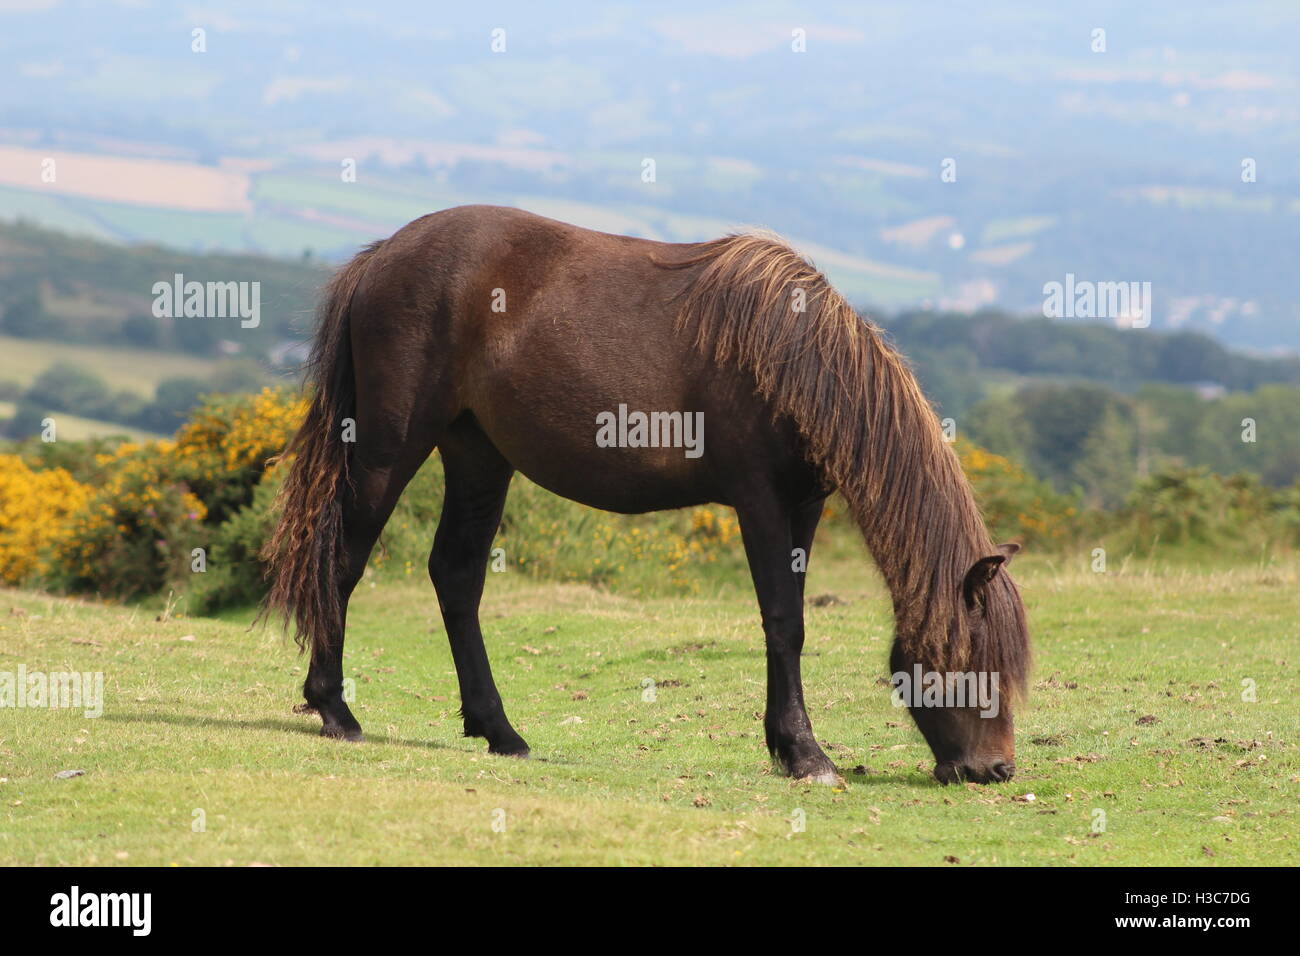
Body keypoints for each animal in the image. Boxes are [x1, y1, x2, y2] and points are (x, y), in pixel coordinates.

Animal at [258, 205, 1029, 780]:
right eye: (970, 656)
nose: (994, 771)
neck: (792, 355)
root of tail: (381, 256)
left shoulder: (804, 506)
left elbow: (795, 621)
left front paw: (787, 747)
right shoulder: (759, 500)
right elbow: (783, 620)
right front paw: (808, 756)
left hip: (478, 456)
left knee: (456, 574)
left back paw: (501, 730)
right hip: (391, 448)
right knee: (343, 561)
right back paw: (336, 711)